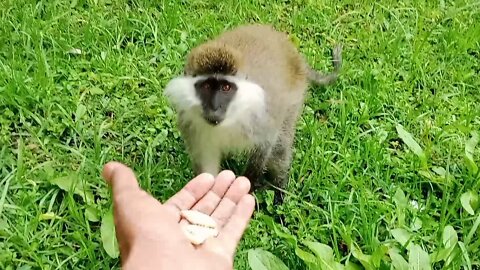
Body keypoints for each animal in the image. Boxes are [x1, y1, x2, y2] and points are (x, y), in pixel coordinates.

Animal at [165, 24, 342, 202]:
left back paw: (279, 195)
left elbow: (266, 145)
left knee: (280, 148)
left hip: (294, 100)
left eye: (226, 87)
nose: (215, 107)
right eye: (206, 86)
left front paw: (248, 184)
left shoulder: (260, 118)